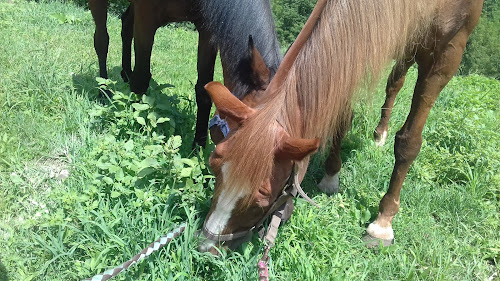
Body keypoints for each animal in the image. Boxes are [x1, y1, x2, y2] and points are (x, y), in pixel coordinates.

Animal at [88, 0, 284, 147]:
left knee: (126, 23)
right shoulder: (146, 15)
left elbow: (204, 90)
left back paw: (125, 74)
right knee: (102, 40)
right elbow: (141, 78)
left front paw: (197, 148)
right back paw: (103, 91)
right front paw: (138, 125)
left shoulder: (208, 29)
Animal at [198, 0, 484, 252]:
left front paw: (383, 223)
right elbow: (341, 116)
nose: (206, 248)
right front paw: (331, 176)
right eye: (214, 166)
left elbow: (409, 142)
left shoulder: (447, 53)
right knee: (395, 81)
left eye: (260, 200)